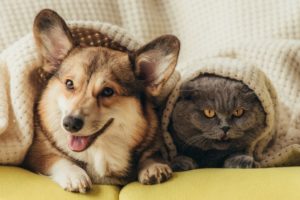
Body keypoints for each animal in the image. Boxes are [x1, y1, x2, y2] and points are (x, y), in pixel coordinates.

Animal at [24, 9, 179, 192]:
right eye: (69, 84)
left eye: (107, 91)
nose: (69, 123)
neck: (100, 151)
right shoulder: (37, 154)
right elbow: (57, 159)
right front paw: (74, 175)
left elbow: (151, 154)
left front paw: (153, 166)